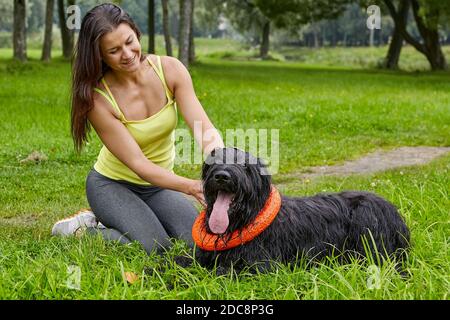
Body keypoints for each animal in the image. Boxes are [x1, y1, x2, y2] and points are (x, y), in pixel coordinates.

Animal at [188, 148, 410, 272]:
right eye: (214, 163)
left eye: (244, 166)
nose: (222, 176)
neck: (246, 217)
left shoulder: (260, 265)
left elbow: (219, 271)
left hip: (366, 221)